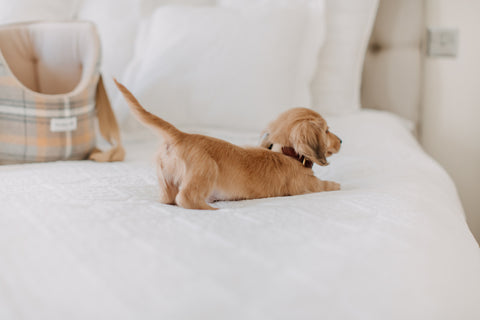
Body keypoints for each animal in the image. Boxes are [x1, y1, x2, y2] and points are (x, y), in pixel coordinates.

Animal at [115, 80, 342, 210]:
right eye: (327, 130)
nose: (341, 140)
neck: (285, 152)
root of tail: (180, 135)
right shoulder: (306, 185)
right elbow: (324, 184)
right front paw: (337, 185)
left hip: (165, 180)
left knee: (168, 199)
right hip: (206, 170)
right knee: (185, 198)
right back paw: (210, 209)